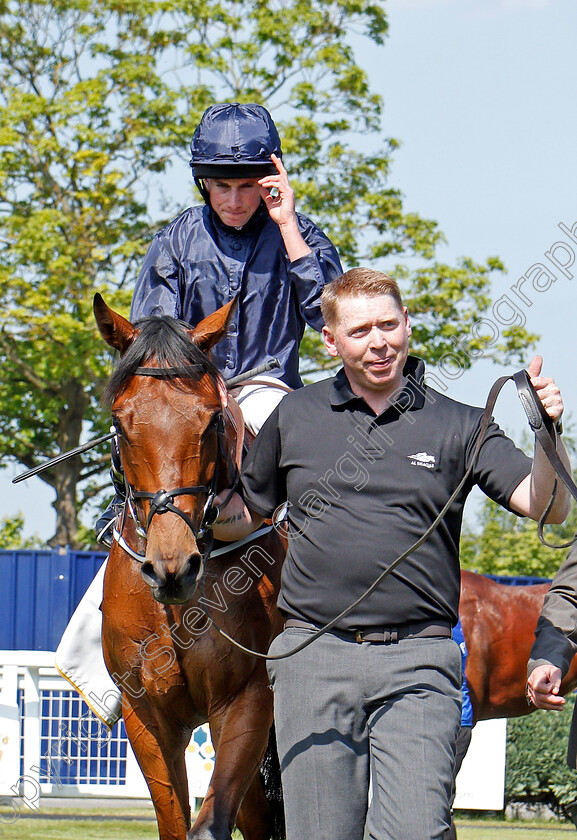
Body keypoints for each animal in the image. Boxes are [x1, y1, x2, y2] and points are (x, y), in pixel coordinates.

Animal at [93, 296, 286, 840]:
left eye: (212, 420)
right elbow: (177, 825)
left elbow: (210, 826)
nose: (172, 568)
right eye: (120, 423)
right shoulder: (147, 715)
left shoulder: (247, 701)